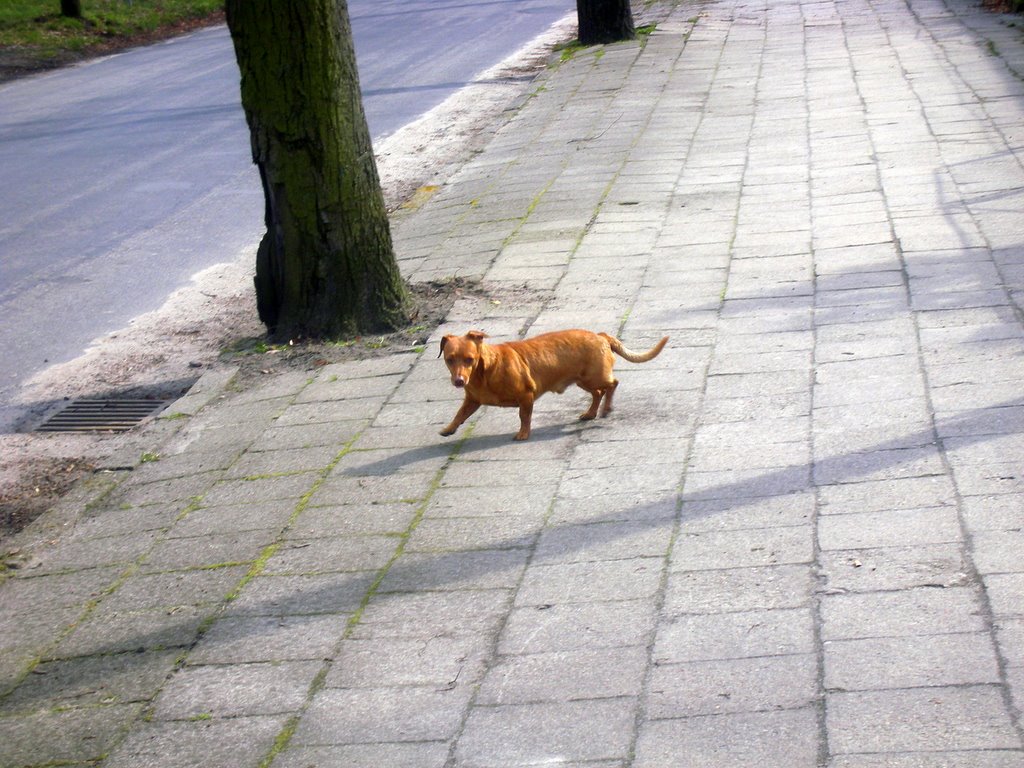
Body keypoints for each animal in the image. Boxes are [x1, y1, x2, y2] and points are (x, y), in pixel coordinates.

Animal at [436, 329, 667, 442]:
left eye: (469, 359)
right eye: (449, 359)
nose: (459, 381)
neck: (484, 371)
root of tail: (601, 336)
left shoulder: (526, 396)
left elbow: (524, 416)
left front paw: (523, 434)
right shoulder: (472, 400)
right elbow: (459, 414)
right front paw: (448, 429)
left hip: (594, 377)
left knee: (612, 384)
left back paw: (606, 408)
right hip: (583, 381)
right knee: (598, 393)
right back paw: (591, 413)